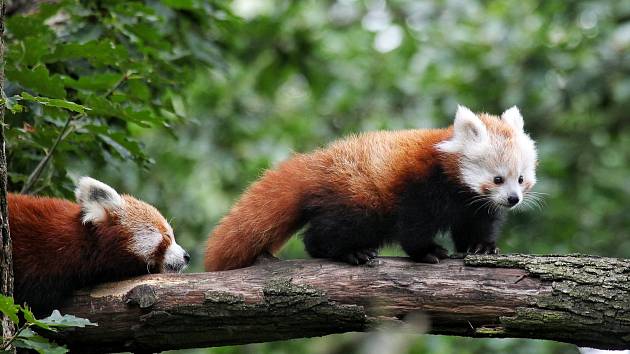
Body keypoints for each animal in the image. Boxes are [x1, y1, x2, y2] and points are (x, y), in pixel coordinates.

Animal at [205, 105, 540, 272]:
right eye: (497, 179)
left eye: (521, 178)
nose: (513, 199)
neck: (452, 181)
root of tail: (317, 164)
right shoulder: (420, 186)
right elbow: (413, 226)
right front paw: (427, 252)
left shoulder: (472, 204)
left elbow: (477, 224)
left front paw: (481, 246)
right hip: (358, 198)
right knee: (327, 232)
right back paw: (349, 252)